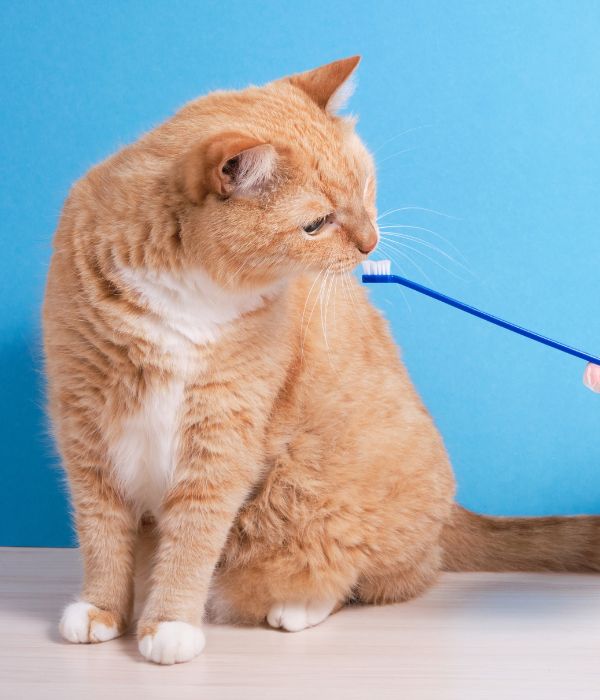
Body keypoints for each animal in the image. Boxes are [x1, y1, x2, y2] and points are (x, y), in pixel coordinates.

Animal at [43, 57, 600, 664]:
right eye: (316, 224)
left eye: (366, 188)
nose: (370, 242)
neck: (185, 296)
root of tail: (453, 511)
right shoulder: (87, 429)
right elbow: (101, 534)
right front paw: (102, 609)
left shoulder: (221, 436)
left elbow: (192, 537)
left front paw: (169, 623)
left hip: (326, 512)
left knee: (371, 577)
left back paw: (298, 605)